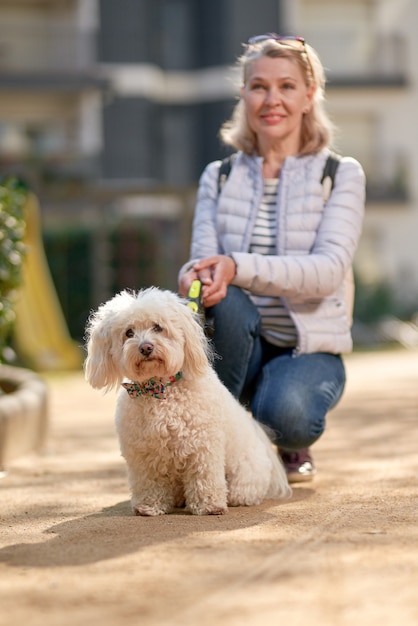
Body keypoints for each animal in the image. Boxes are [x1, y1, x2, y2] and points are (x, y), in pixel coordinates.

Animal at [83, 286, 290, 516]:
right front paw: (149, 506)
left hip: (244, 473)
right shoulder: (143, 453)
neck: (160, 389)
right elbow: (149, 482)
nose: (145, 347)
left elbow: (204, 477)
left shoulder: (203, 446)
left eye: (158, 327)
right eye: (129, 333)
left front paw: (209, 505)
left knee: (242, 490)